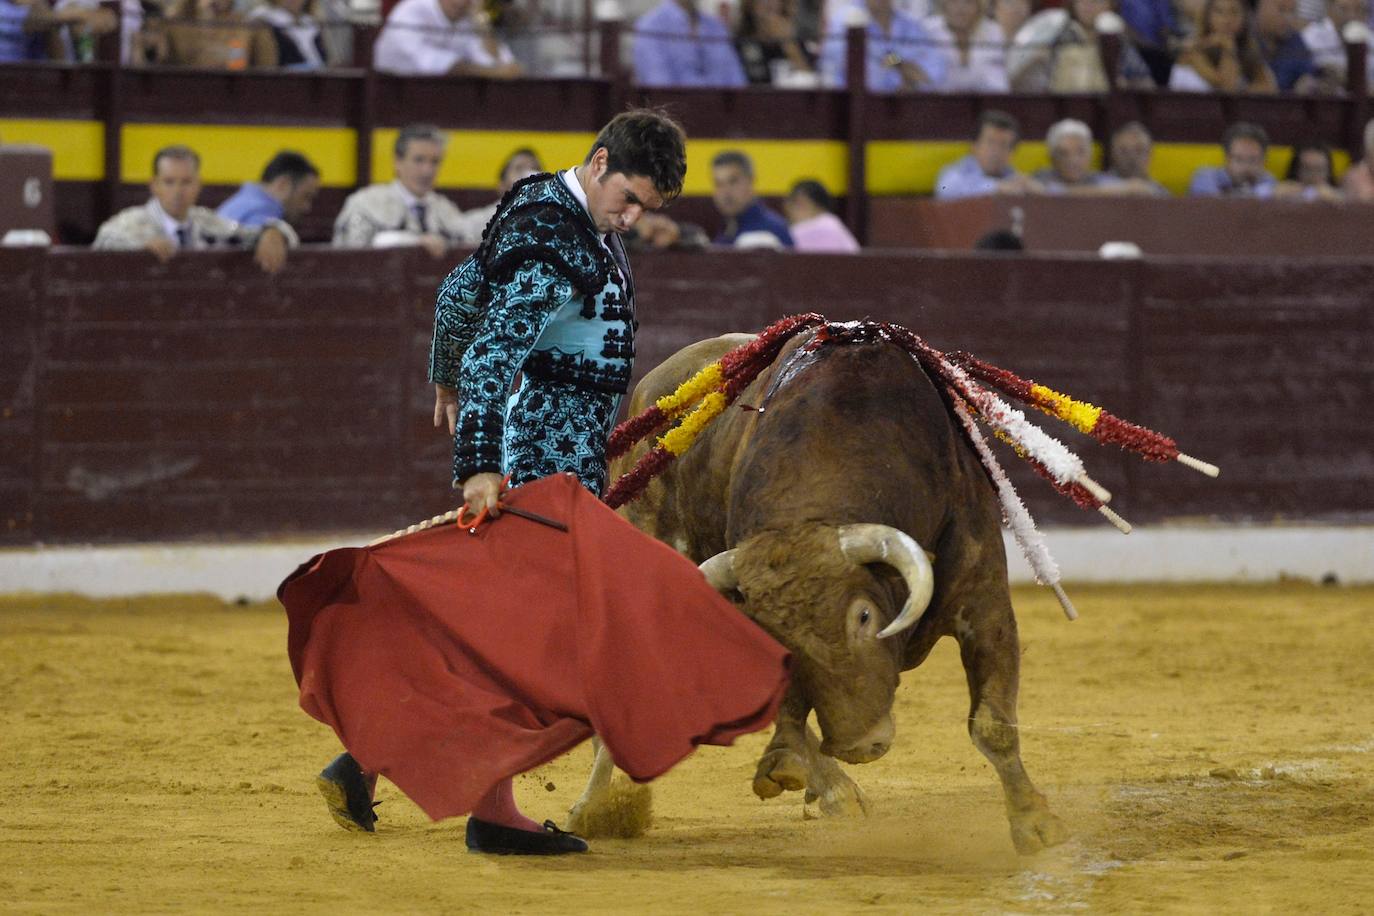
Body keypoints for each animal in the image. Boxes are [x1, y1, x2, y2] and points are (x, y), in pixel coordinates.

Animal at [568, 325, 1071, 856]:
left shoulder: (984, 602)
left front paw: (1036, 823)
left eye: (865, 616)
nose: (859, 744)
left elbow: (992, 724)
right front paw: (790, 762)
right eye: (778, 635)